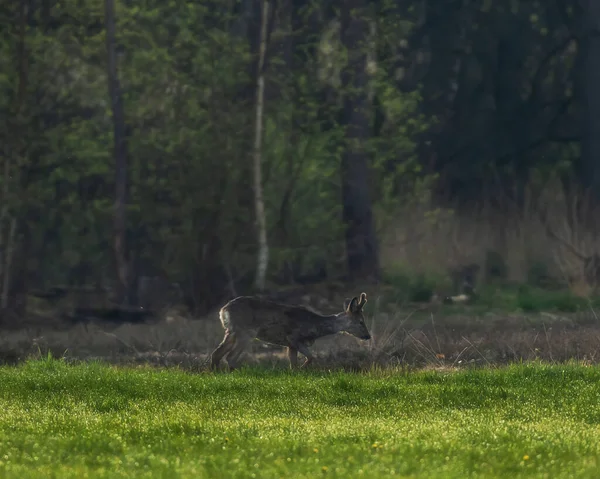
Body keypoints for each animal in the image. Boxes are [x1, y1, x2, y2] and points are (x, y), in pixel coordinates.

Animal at [210, 290, 370, 370]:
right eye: (361, 322)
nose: (368, 336)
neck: (315, 326)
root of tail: (223, 310)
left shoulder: (290, 345)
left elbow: (293, 363)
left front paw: (295, 373)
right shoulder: (294, 337)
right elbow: (311, 357)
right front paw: (302, 370)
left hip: (231, 332)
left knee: (216, 354)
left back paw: (216, 374)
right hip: (246, 332)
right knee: (230, 357)